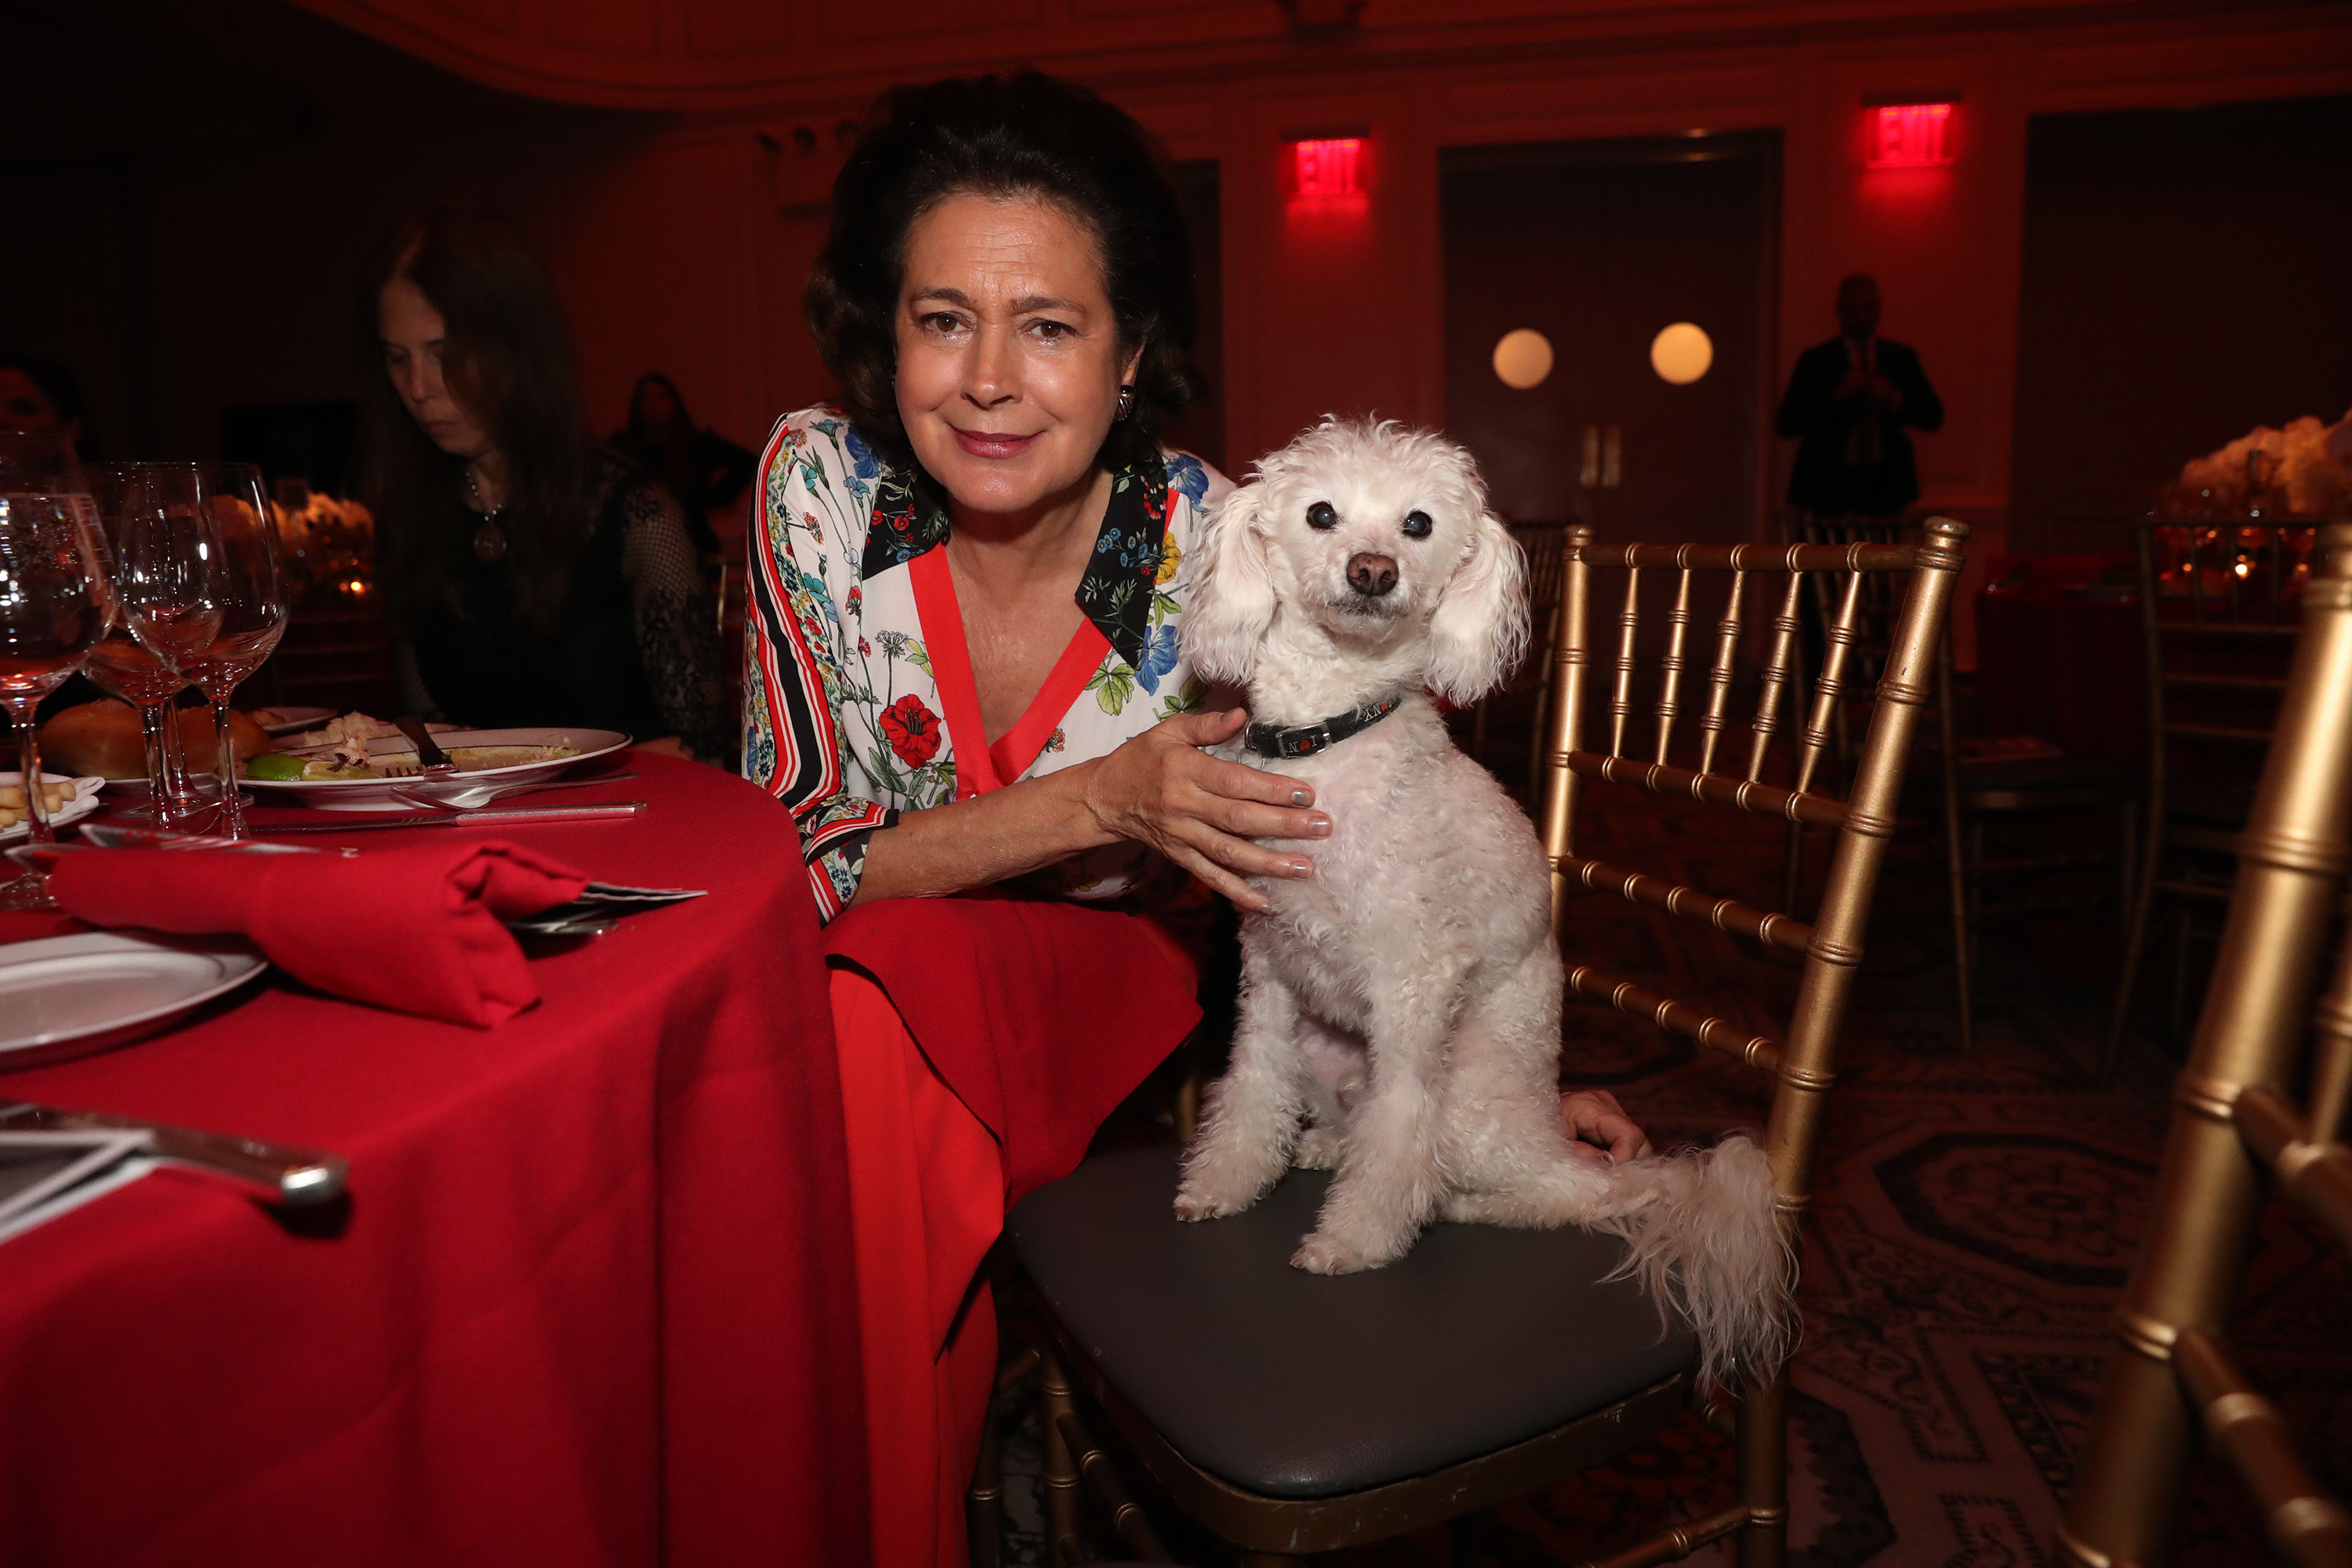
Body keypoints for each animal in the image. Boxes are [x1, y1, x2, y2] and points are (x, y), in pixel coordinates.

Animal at [1185, 413, 1788, 1382]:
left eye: (1419, 524)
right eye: (1320, 513)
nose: (1373, 570)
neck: (1330, 738)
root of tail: (1552, 1131)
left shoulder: (1416, 982)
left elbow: (1400, 1126)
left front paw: (1356, 1238)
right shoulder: (1271, 979)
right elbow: (1248, 1088)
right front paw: (1221, 1183)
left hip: (1467, 1092)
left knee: (1559, 1194)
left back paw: (1455, 1201)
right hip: (1329, 1049)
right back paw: (1326, 1144)